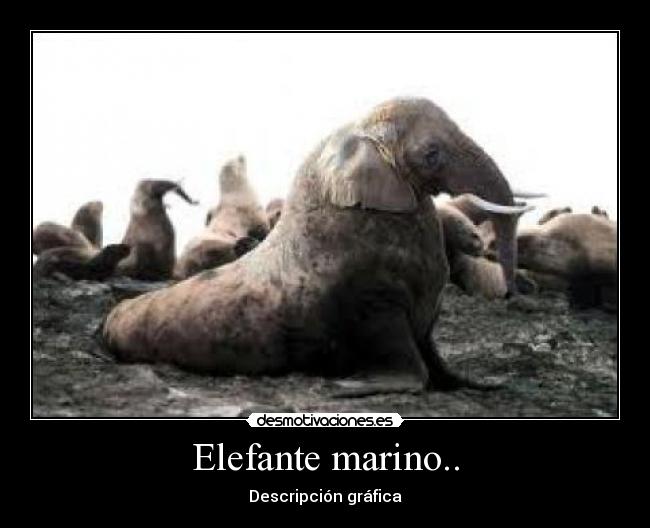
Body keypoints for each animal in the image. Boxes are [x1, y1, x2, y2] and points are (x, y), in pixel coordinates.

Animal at [101, 97, 531, 388]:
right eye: (432, 153)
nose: (511, 290)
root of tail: (109, 319)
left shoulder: (426, 312)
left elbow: (434, 357)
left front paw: (479, 384)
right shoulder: (377, 305)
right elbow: (406, 360)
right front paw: (355, 385)